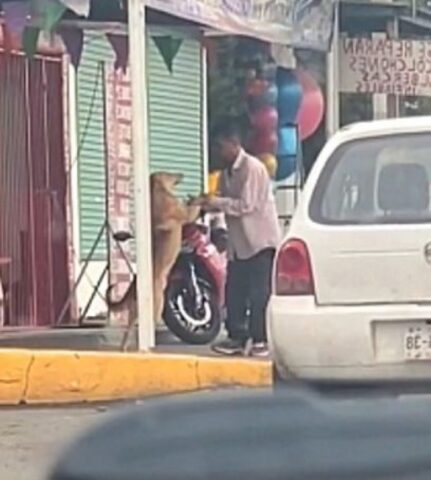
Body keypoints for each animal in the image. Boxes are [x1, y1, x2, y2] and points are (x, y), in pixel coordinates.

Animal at [108, 171, 202, 350]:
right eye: (170, 174)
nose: (182, 174)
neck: (156, 191)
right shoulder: (185, 214)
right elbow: (192, 208)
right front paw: (201, 197)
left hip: (135, 310)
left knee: (129, 329)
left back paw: (125, 349)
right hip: (158, 301)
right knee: (151, 322)